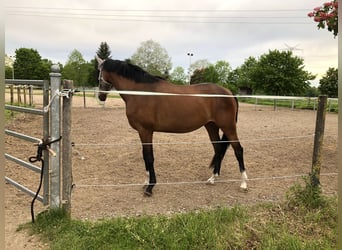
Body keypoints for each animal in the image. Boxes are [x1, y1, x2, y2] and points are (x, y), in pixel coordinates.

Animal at [95, 55, 247, 196]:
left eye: (99, 74)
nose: (101, 97)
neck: (141, 92)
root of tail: (229, 93)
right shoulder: (142, 132)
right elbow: (144, 156)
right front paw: (146, 182)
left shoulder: (145, 131)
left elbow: (149, 157)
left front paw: (150, 187)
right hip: (211, 126)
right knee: (218, 149)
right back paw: (213, 178)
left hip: (228, 127)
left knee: (238, 149)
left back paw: (244, 183)